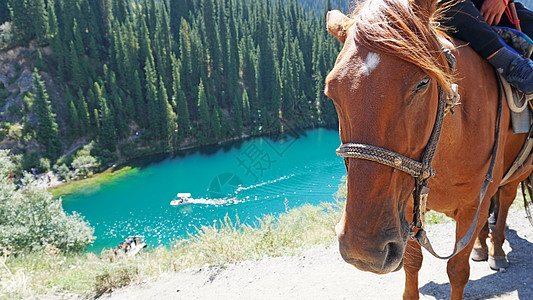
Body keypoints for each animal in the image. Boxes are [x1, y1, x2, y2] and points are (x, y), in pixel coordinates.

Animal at [324, 0, 532, 298]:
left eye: (423, 83)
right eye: (331, 90)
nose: (362, 249)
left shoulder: (472, 207)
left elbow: (457, 271)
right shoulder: (407, 208)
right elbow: (412, 263)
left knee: (504, 202)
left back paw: (497, 251)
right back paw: (482, 246)